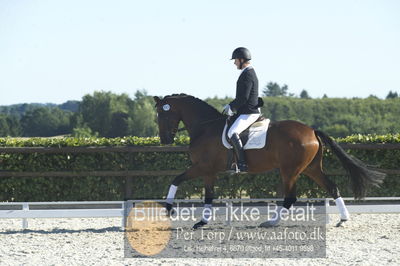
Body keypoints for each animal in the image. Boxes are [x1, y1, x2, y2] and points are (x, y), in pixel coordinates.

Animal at [154, 93, 384, 229]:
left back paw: (271, 222)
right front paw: (202, 221)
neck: (205, 127)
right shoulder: (209, 171)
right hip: (310, 168)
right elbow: (208, 195)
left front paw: (168, 209)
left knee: (290, 197)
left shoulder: (202, 167)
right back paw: (343, 219)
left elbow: (175, 180)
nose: (165, 141)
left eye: (161, 116)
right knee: (332, 187)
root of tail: (311, 130)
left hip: (289, 171)